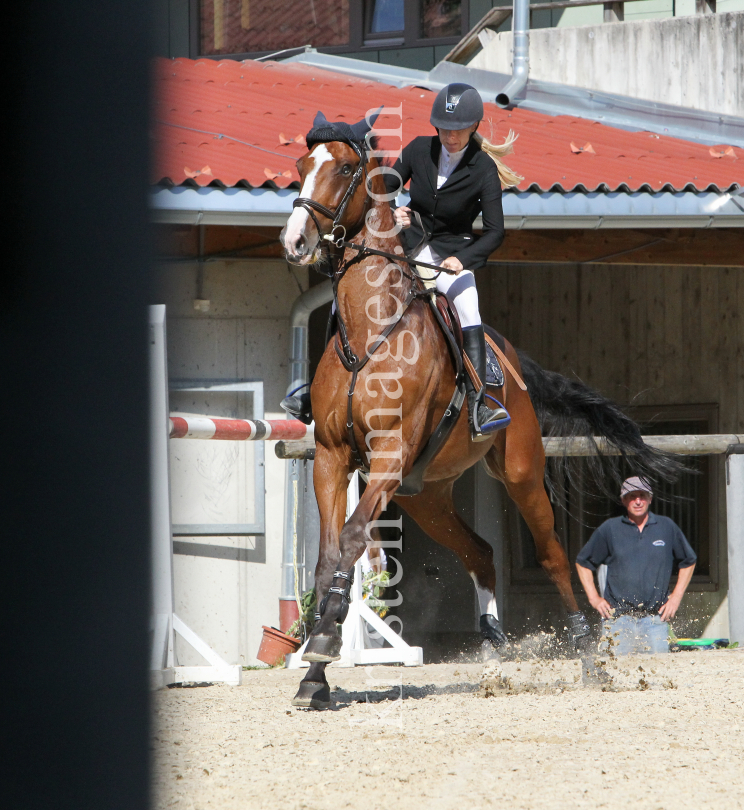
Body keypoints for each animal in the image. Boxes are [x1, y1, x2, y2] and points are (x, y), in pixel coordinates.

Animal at [280, 117, 680, 704]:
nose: (295, 241)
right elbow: (331, 553)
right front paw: (314, 674)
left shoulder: (389, 454)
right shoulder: (332, 458)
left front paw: (327, 641)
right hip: (425, 496)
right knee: (480, 553)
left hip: (520, 472)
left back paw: (589, 656)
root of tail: (506, 353)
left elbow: (352, 538)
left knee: (553, 554)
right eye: (302, 166)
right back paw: (491, 646)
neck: (372, 329)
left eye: (348, 167)